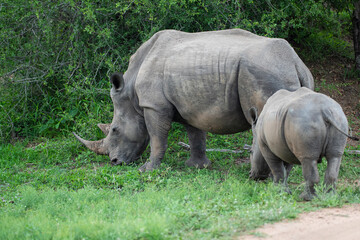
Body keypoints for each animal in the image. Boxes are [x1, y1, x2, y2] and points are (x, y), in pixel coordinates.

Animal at [74, 29, 314, 172]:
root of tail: (295, 62)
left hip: (264, 71)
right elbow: (195, 134)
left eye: (114, 130)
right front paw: (197, 166)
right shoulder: (190, 104)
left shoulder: (154, 106)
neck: (131, 93)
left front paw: (148, 169)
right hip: (285, 73)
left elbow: (157, 136)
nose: (114, 162)